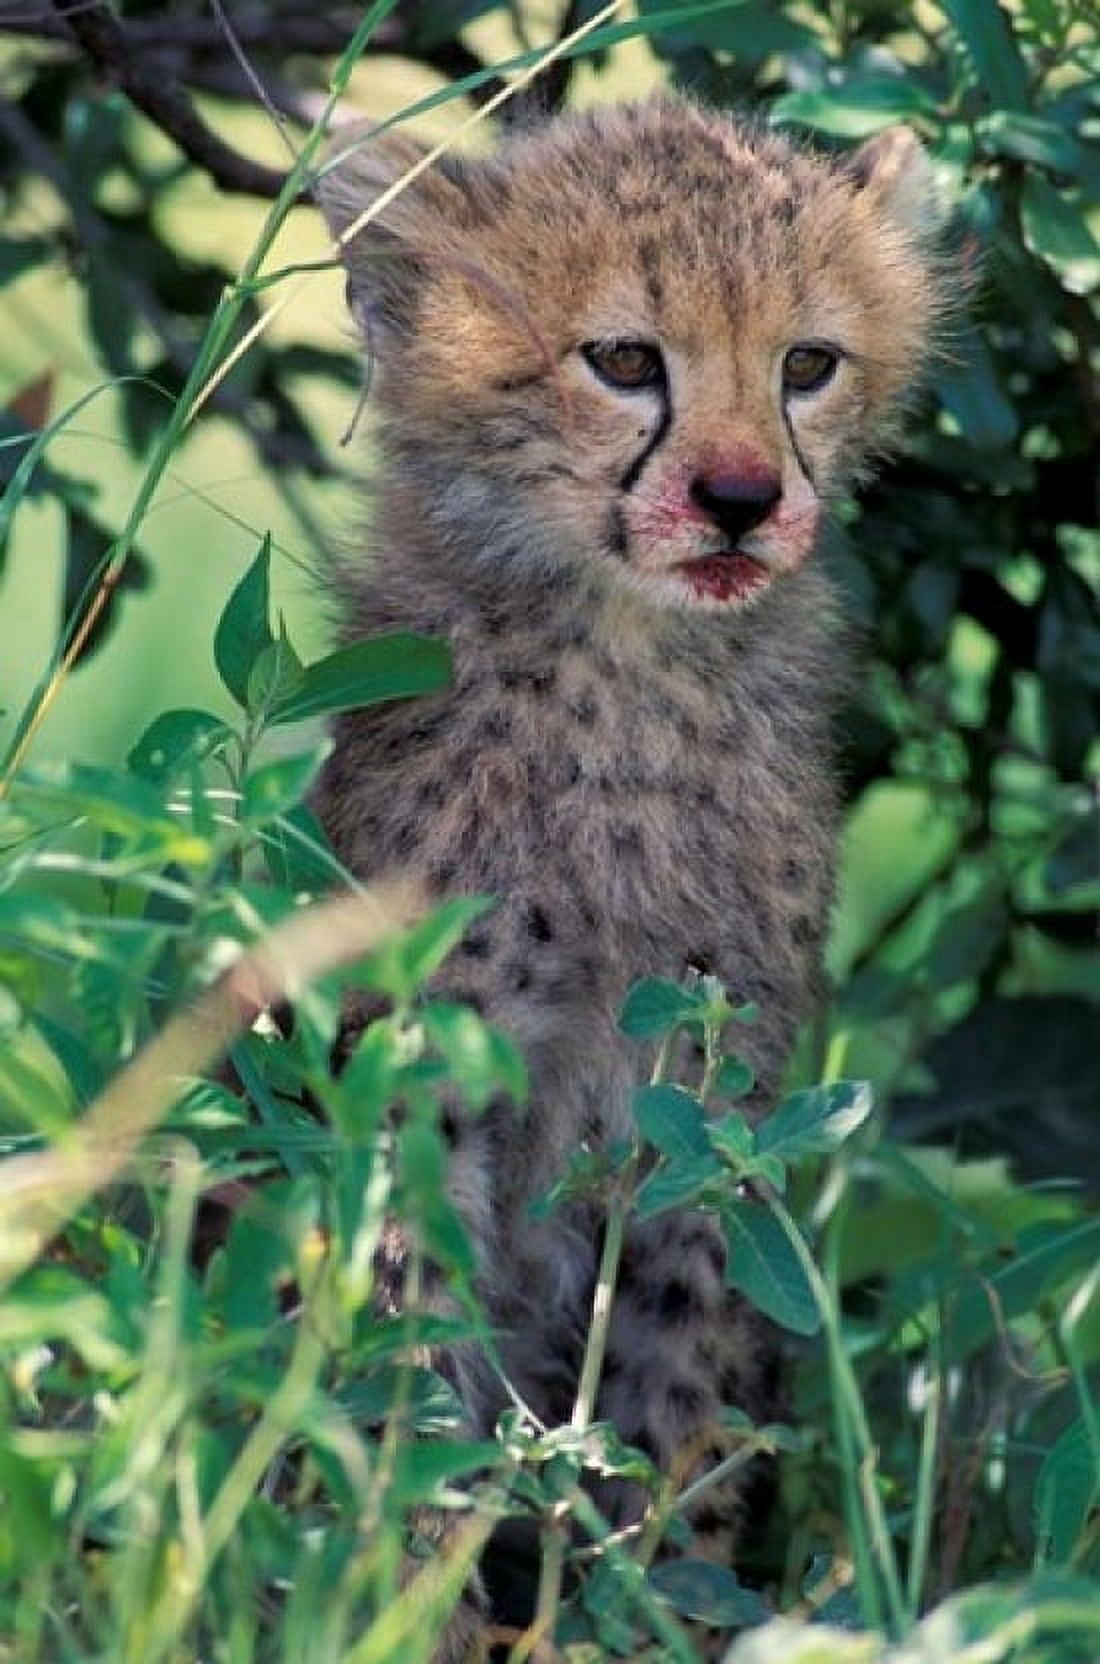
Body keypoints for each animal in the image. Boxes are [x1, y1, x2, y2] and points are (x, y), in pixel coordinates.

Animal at [312, 93, 945, 1658]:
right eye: (622, 360)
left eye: (806, 364)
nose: (739, 498)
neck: (630, 668)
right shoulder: (424, 1076)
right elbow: (407, 1371)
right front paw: (410, 1610)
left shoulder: (710, 1094)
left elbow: (684, 1397)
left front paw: (657, 1608)